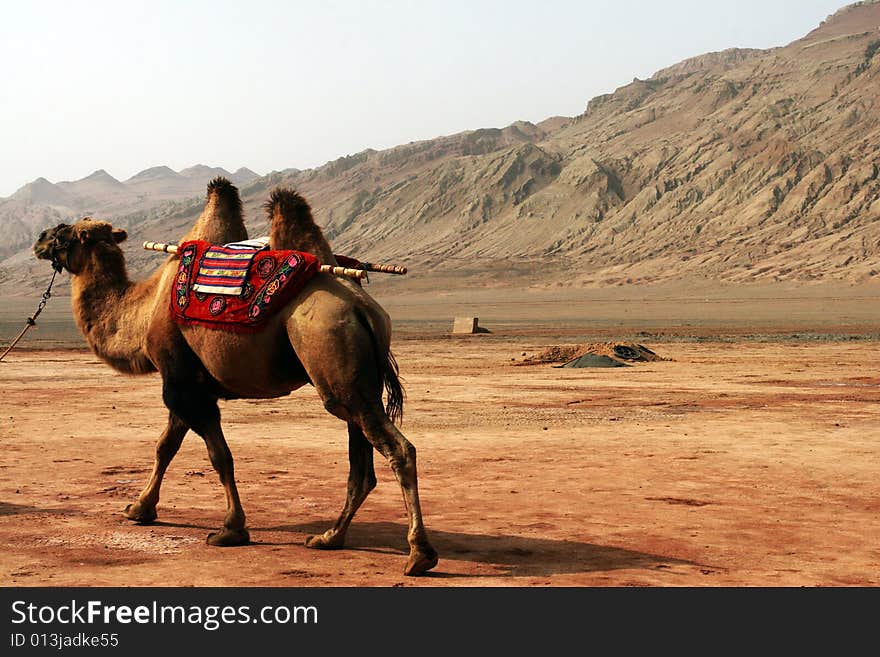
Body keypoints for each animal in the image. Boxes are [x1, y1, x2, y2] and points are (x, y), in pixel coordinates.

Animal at [34, 178, 440, 576]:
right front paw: (140, 509)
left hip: (332, 355)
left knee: (398, 450)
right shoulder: (191, 384)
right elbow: (166, 446)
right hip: (356, 382)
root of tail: (362, 308)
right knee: (361, 465)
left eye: (68, 233)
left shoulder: (181, 383)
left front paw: (230, 529)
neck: (141, 312)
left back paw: (419, 554)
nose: (39, 240)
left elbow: (218, 456)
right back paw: (329, 537)